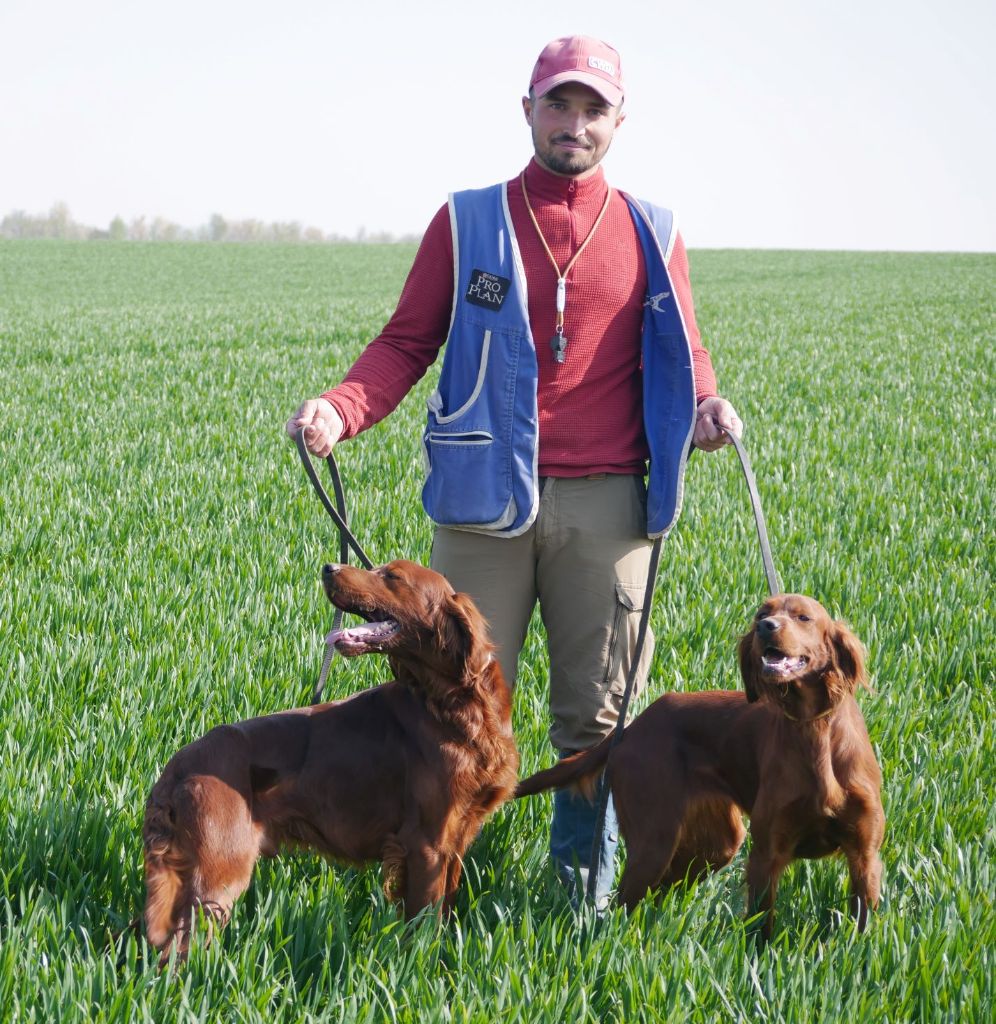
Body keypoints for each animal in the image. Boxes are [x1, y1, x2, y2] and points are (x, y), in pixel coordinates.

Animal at [143, 561, 515, 966]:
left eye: (391, 576)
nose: (329, 567)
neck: (452, 707)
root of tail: (177, 767)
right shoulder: (426, 843)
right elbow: (423, 923)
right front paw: (419, 967)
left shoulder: (455, 839)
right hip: (221, 868)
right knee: (178, 946)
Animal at [515, 598, 880, 937]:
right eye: (762, 614)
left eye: (804, 617)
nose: (766, 627)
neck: (814, 729)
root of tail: (634, 727)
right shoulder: (768, 852)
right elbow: (759, 928)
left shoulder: (864, 855)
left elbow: (862, 926)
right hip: (655, 839)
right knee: (624, 904)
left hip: (715, 843)